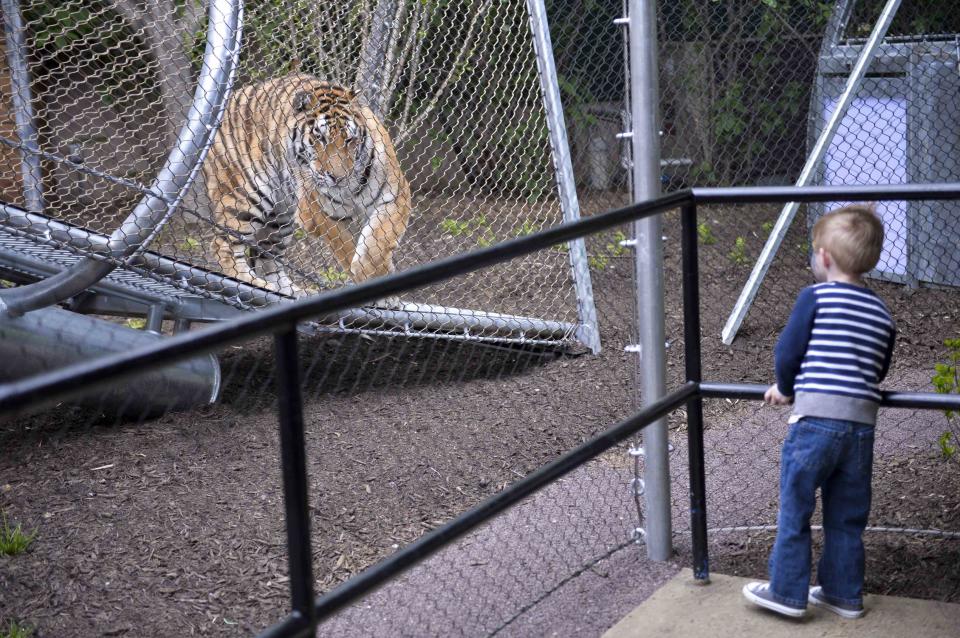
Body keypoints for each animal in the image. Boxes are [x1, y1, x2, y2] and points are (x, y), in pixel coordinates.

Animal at [201, 71, 410, 302]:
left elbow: (377, 243)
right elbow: (346, 248)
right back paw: (253, 284)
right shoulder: (319, 213)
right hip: (244, 198)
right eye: (320, 138)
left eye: (349, 140)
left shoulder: (396, 196)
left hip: (280, 217)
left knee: (266, 261)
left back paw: (292, 292)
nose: (338, 177)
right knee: (223, 247)